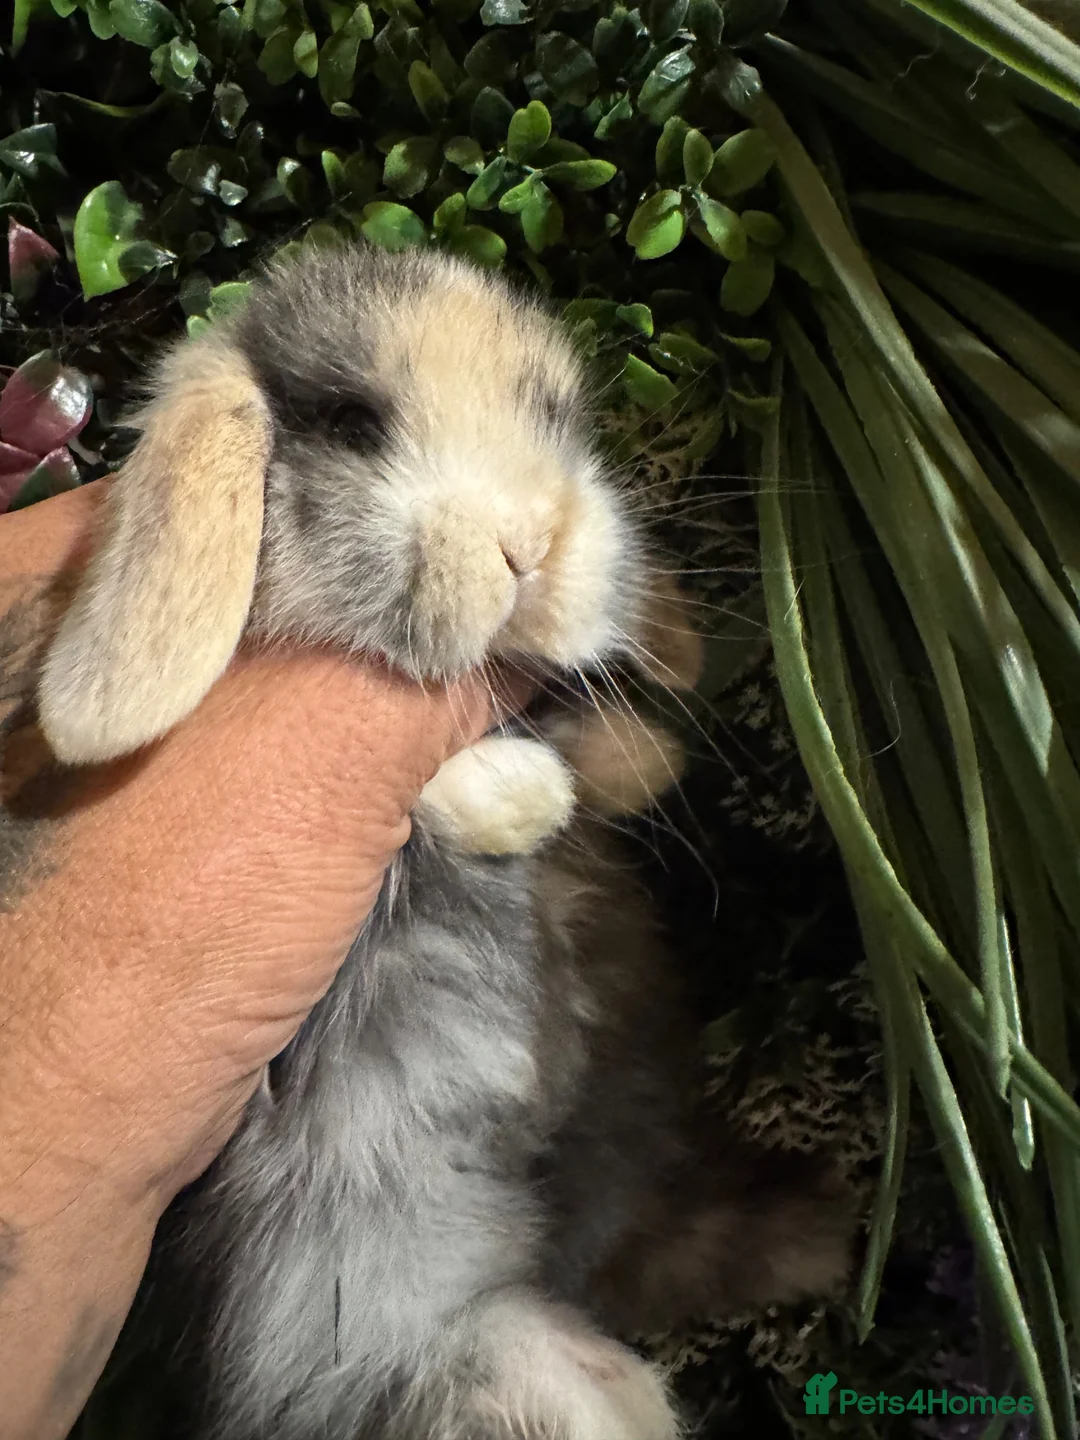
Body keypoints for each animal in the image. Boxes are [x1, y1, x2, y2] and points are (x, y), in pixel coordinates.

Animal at [37, 244, 854, 1440]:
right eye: (352, 421)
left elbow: (614, 767)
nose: (533, 543)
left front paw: (610, 754)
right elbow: (438, 801)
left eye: (558, 416)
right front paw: (517, 792)